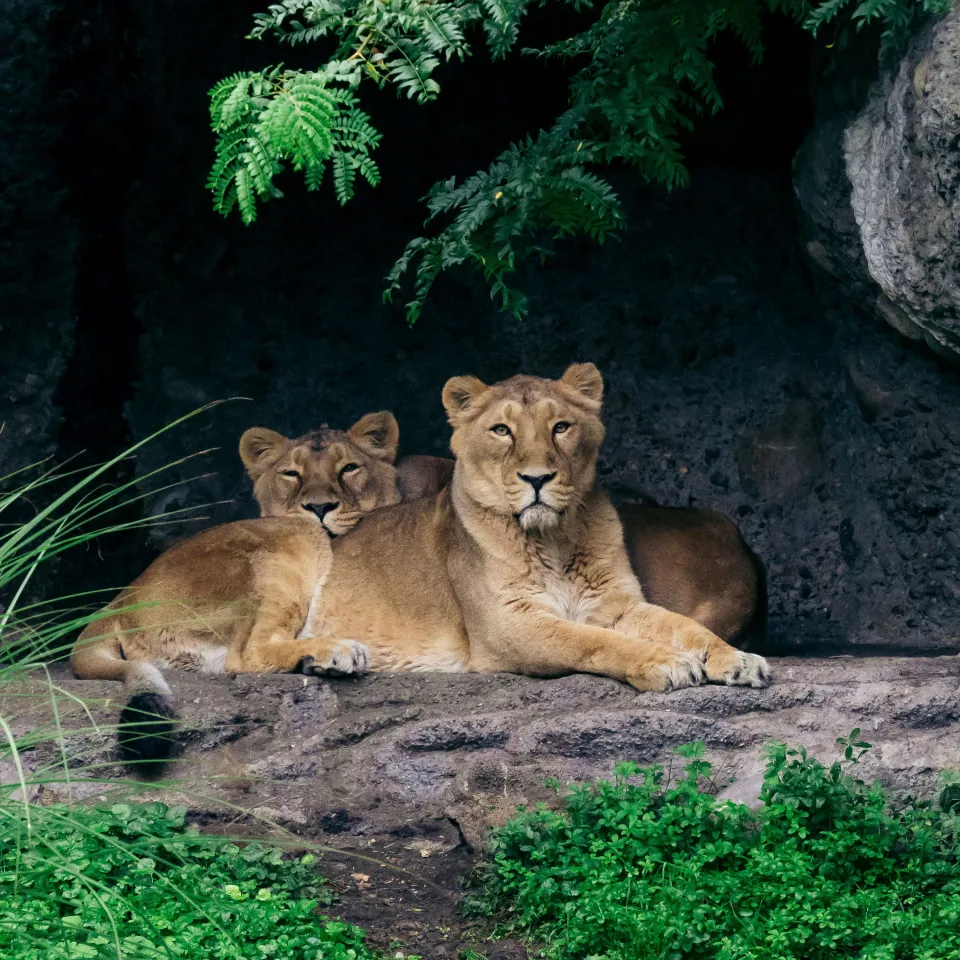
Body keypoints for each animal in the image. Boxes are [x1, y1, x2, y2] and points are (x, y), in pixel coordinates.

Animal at [309, 363, 770, 691]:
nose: (537, 478)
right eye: (501, 430)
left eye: (561, 427)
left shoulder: (617, 605)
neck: (555, 540)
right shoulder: (508, 626)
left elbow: (687, 627)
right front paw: (664, 661)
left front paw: (736, 659)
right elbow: (593, 642)